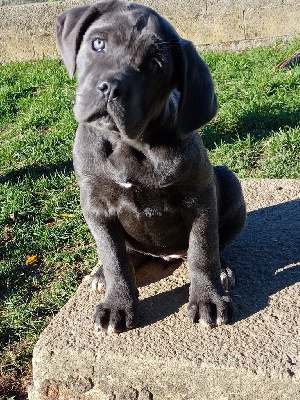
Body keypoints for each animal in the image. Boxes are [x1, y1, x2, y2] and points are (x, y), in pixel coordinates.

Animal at [56, 0, 246, 334]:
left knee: (215, 244)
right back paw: (101, 275)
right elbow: (114, 257)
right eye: (98, 44)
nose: (110, 88)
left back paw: (222, 270)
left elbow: (203, 250)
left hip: (229, 181)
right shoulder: (96, 207)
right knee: (126, 253)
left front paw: (208, 299)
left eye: (156, 65)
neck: (128, 145)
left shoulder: (200, 199)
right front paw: (117, 303)